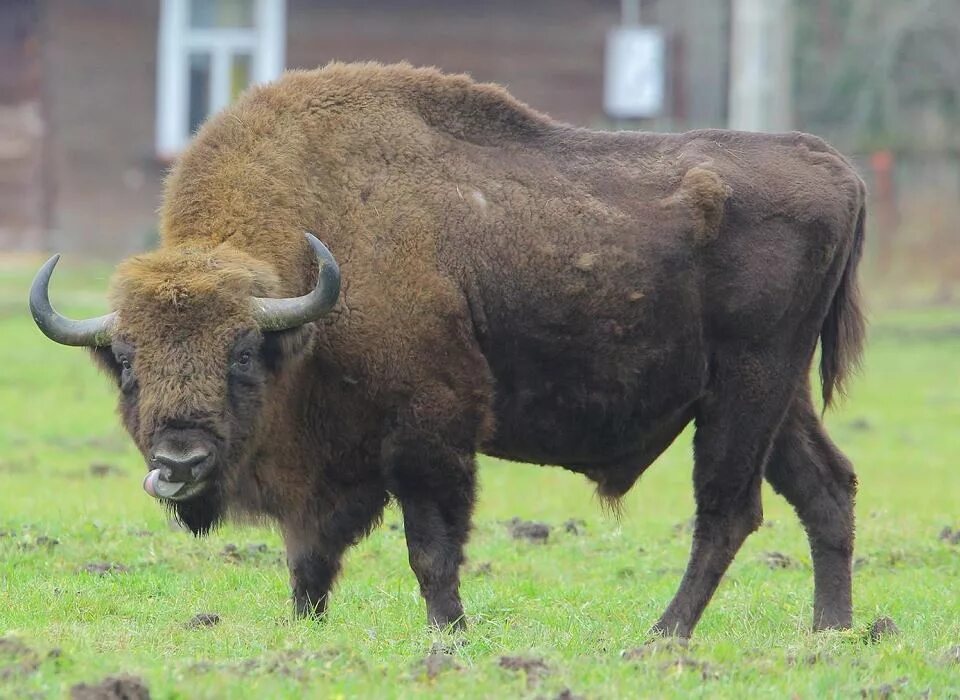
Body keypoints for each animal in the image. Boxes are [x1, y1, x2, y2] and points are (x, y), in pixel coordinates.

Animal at [31, 63, 872, 636]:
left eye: (242, 353)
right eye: (127, 363)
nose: (179, 462)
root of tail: (833, 166)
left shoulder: (429, 434)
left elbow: (431, 549)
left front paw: (449, 635)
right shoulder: (330, 469)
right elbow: (309, 557)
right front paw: (304, 632)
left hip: (746, 390)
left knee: (728, 510)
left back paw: (663, 636)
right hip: (775, 398)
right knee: (825, 488)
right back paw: (829, 632)